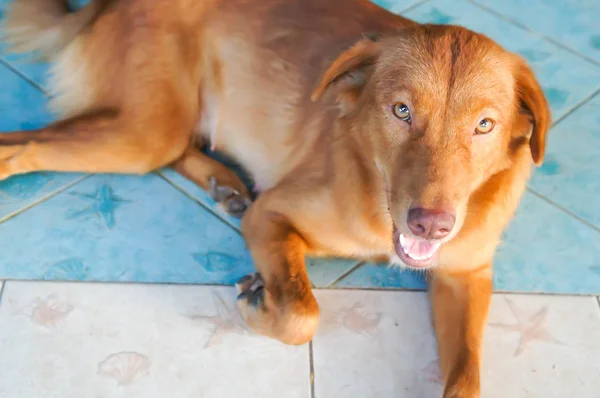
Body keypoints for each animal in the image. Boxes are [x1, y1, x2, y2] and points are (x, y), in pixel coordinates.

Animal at [2, 0, 552, 394]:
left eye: (485, 125)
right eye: (401, 111)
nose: (431, 225)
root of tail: (106, 3)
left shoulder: (466, 275)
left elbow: (467, 376)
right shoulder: (274, 212)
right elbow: (301, 313)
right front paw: (258, 298)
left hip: (155, 129)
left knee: (176, 146)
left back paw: (223, 182)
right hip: (141, 134)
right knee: (27, 145)